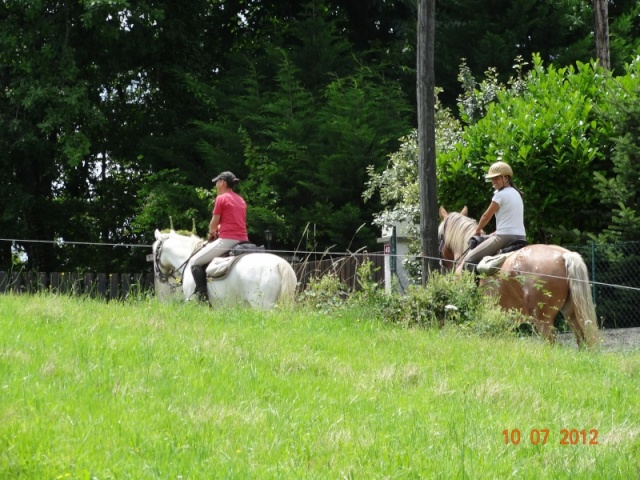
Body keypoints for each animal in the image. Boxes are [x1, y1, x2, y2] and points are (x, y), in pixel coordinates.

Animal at [440, 206, 600, 348]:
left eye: (440, 235)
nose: (442, 264)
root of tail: (563, 255)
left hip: (543, 320)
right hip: (572, 315)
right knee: (582, 342)